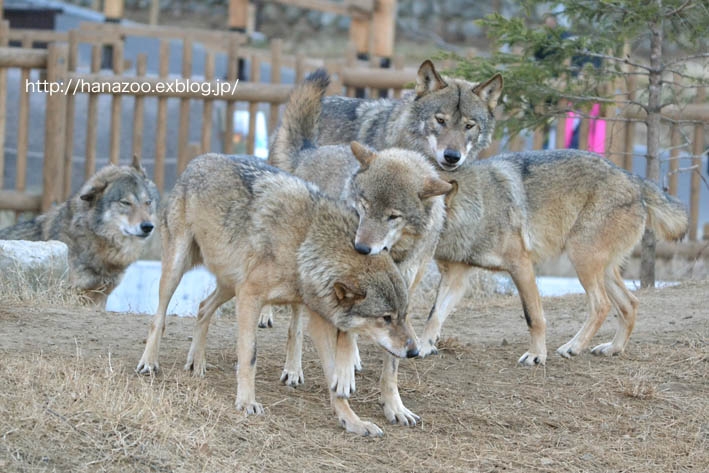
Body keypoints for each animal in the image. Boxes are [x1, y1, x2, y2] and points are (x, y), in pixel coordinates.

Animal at [136, 154, 418, 436]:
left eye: (403, 315)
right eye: (385, 318)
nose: (415, 351)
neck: (305, 243)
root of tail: (197, 161)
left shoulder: (317, 319)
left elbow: (334, 377)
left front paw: (352, 421)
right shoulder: (250, 298)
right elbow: (249, 356)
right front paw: (246, 402)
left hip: (230, 283)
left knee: (204, 307)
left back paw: (197, 362)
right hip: (179, 267)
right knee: (159, 318)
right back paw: (149, 362)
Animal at [268, 69, 450, 424]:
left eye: (393, 216)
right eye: (363, 207)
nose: (362, 248)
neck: (393, 254)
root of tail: (310, 151)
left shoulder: (401, 299)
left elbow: (392, 362)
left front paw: (395, 406)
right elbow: (344, 335)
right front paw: (342, 375)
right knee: (296, 326)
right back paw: (294, 370)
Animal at [420, 149, 684, 364]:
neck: (476, 207)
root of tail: (634, 179)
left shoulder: (521, 266)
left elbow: (534, 317)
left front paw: (537, 355)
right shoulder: (455, 277)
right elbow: (434, 315)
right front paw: (423, 346)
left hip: (581, 258)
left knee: (601, 305)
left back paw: (573, 347)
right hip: (602, 269)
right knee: (630, 303)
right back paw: (612, 348)